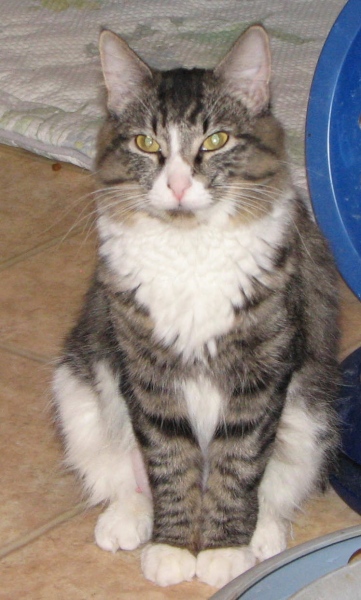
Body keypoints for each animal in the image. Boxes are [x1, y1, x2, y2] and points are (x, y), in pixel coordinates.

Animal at [52, 25, 338, 588]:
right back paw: (126, 522)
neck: (189, 250)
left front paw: (225, 551)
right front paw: (173, 547)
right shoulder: (146, 371)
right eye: (147, 144)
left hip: (311, 417)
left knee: (275, 489)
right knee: (122, 477)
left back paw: (263, 537)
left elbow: (239, 465)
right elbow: (169, 462)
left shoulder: (261, 373)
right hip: (78, 393)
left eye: (216, 141)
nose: (180, 185)